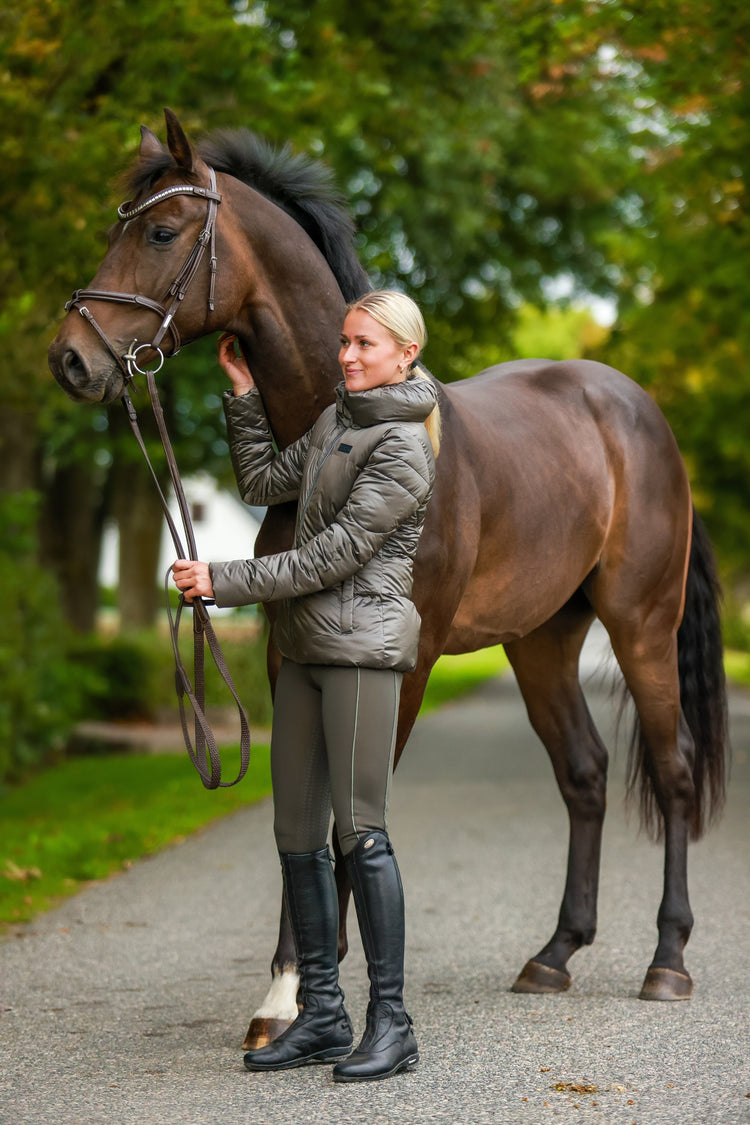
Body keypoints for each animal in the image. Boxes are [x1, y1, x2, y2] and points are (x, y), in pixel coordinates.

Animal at [46, 109, 728, 1039]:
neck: (335, 436)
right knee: (583, 772)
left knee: (674, 768)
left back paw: (668, 959)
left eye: (158, 231)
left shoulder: (402, 664)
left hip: (641, 627)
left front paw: (317, 992)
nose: (70, 359)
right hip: (541, 641)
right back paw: (554, 955)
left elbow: (349, 814)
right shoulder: (292, 654)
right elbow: (299, 808)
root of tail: (642, 415)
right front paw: (285, 991)